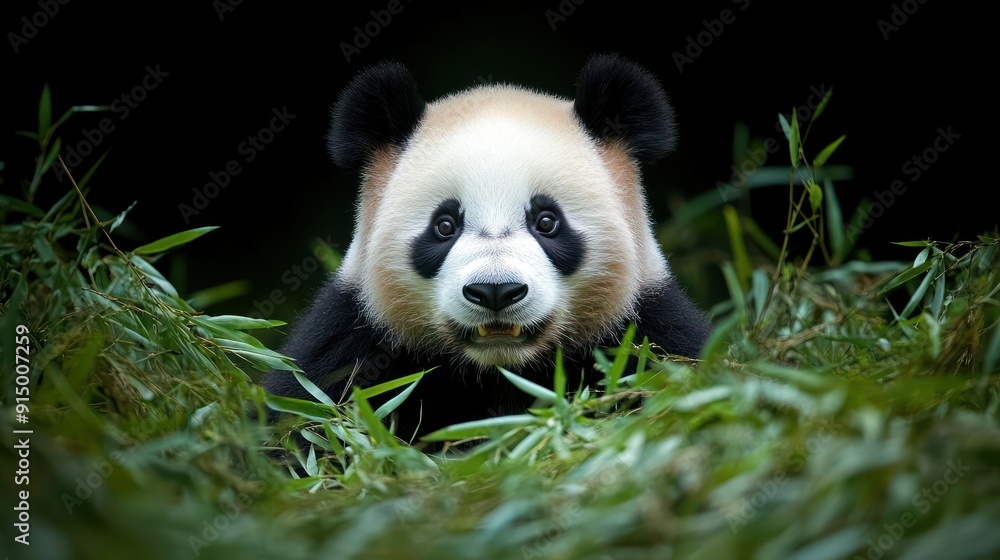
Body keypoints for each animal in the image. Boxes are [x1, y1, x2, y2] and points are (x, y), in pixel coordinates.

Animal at [261, 53, 712, 441]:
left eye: (547, 222)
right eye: (444, 226)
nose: (495, 291)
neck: (500, 369)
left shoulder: (647, 332)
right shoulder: (353, 341)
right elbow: (304, 420)